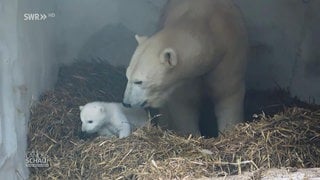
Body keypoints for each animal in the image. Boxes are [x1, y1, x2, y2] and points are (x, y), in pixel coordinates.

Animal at [122, 0, 248, 135]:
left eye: (139, 81)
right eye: (127, 76)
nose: (126, 102)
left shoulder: (228, 57)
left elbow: (227, 95)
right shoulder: (184, 79)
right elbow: (185, 105)